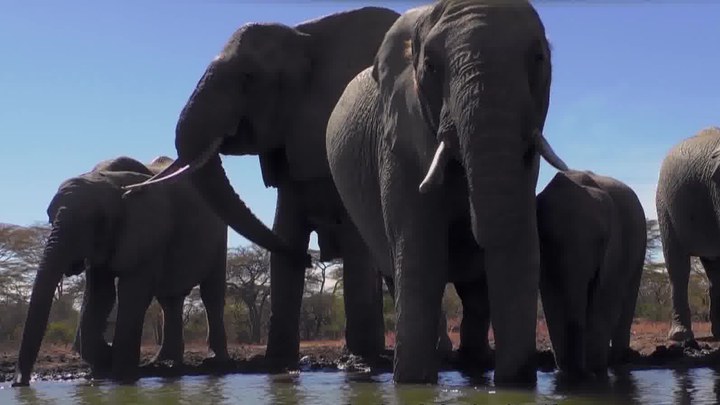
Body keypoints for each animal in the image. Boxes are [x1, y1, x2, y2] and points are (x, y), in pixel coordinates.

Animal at [13, 155, 228, 386]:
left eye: (96, 220)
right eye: (49, 217)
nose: (19, 383)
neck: (110, 181)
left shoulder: (147, 231)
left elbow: (132, 293)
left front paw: (122, 376)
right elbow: (99, 295)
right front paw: (102, 367)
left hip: (220, 231)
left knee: (211, 294)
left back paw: (213, 364)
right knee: (170, 300)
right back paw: (164, 364)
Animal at [124, 6, 402, 366]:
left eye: (248, 78)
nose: (313, 259)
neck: (307, 41)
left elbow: (356, 244)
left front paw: (360, 364)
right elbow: (285, 234)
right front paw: (276, 364)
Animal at [324, 0, 568, 382]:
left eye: (538, 58)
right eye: (431, 67)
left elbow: (519, 248)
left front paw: (513, 385)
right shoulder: (399, 142)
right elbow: (422, 253)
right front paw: (412, 384)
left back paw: (473, 364)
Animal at [536, 169, 648, 378]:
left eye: (602, 240)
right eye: (548, 239)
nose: (580, 372)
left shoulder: (615, 247)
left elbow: (603, 298)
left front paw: (596, 371)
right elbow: (551, 300)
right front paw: (567, 373)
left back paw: (617, 363)